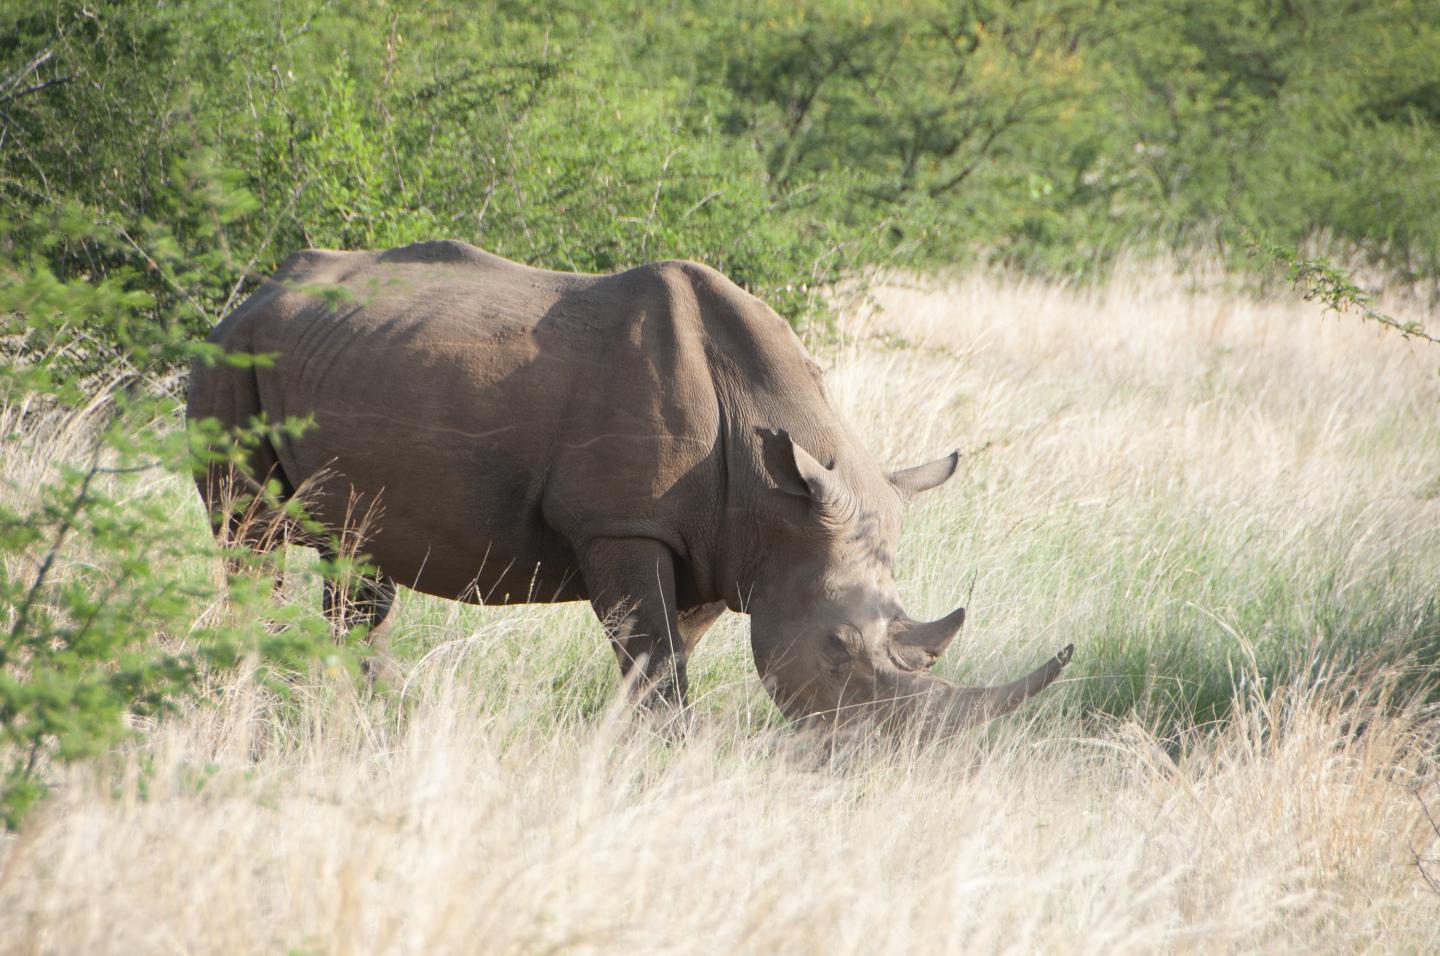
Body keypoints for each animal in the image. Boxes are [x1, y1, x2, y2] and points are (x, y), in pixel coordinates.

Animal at [188, 240, 1071, 734]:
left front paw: (623, 747)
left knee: (357, 551)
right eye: (839, 650)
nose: (885, 760)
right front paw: (662, 755)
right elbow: (657, 659)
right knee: (248, 535)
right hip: (230, 358)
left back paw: (374, 712)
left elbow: (664, 656)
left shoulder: (724, 546)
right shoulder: (622, 525)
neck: (776, 504)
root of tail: (257, 293)